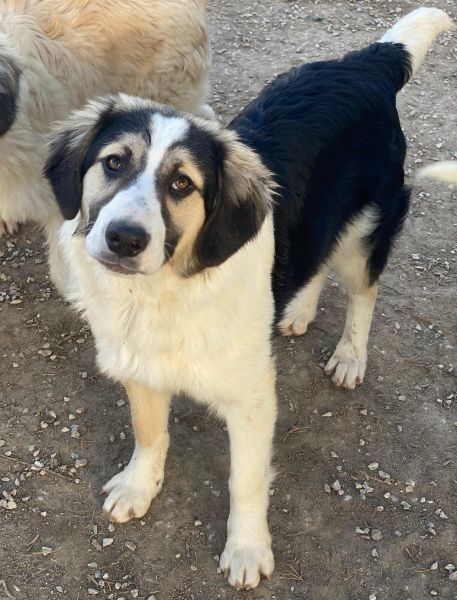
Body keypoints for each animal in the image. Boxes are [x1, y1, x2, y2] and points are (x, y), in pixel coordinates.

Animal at [44, 7, 452, 591]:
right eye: (114, 163)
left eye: (183, 184)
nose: (124, 238)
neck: (165, 293)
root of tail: (368, 62)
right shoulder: (139, 368)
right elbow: (149, 433)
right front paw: (139, 486)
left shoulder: (252, 398)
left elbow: (247, 479)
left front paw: (247, 549)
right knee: (314, 257)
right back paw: (297, 310)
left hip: (366, 233)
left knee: (363, 291)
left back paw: (350, 355)